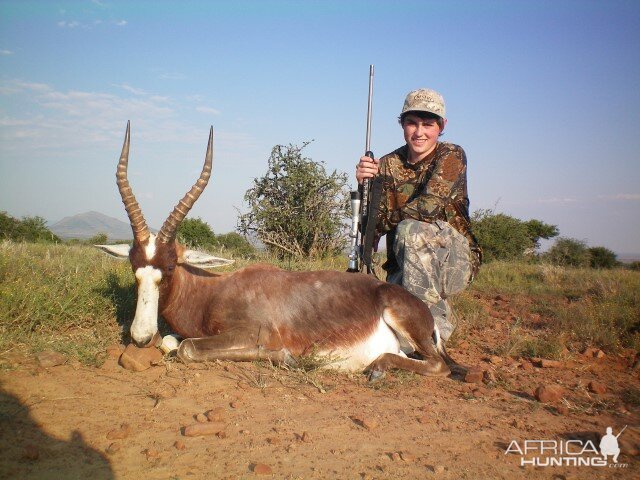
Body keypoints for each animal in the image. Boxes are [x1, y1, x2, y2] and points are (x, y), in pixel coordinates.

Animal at [99, 123, 450, 378]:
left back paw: (376, 367)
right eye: (133, 266)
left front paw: (285, 356)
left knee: (438, 365)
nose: (141, 337)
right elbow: (172, 342)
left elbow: (186, 347)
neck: (214, 290)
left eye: (170, 267)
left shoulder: (255, 332)